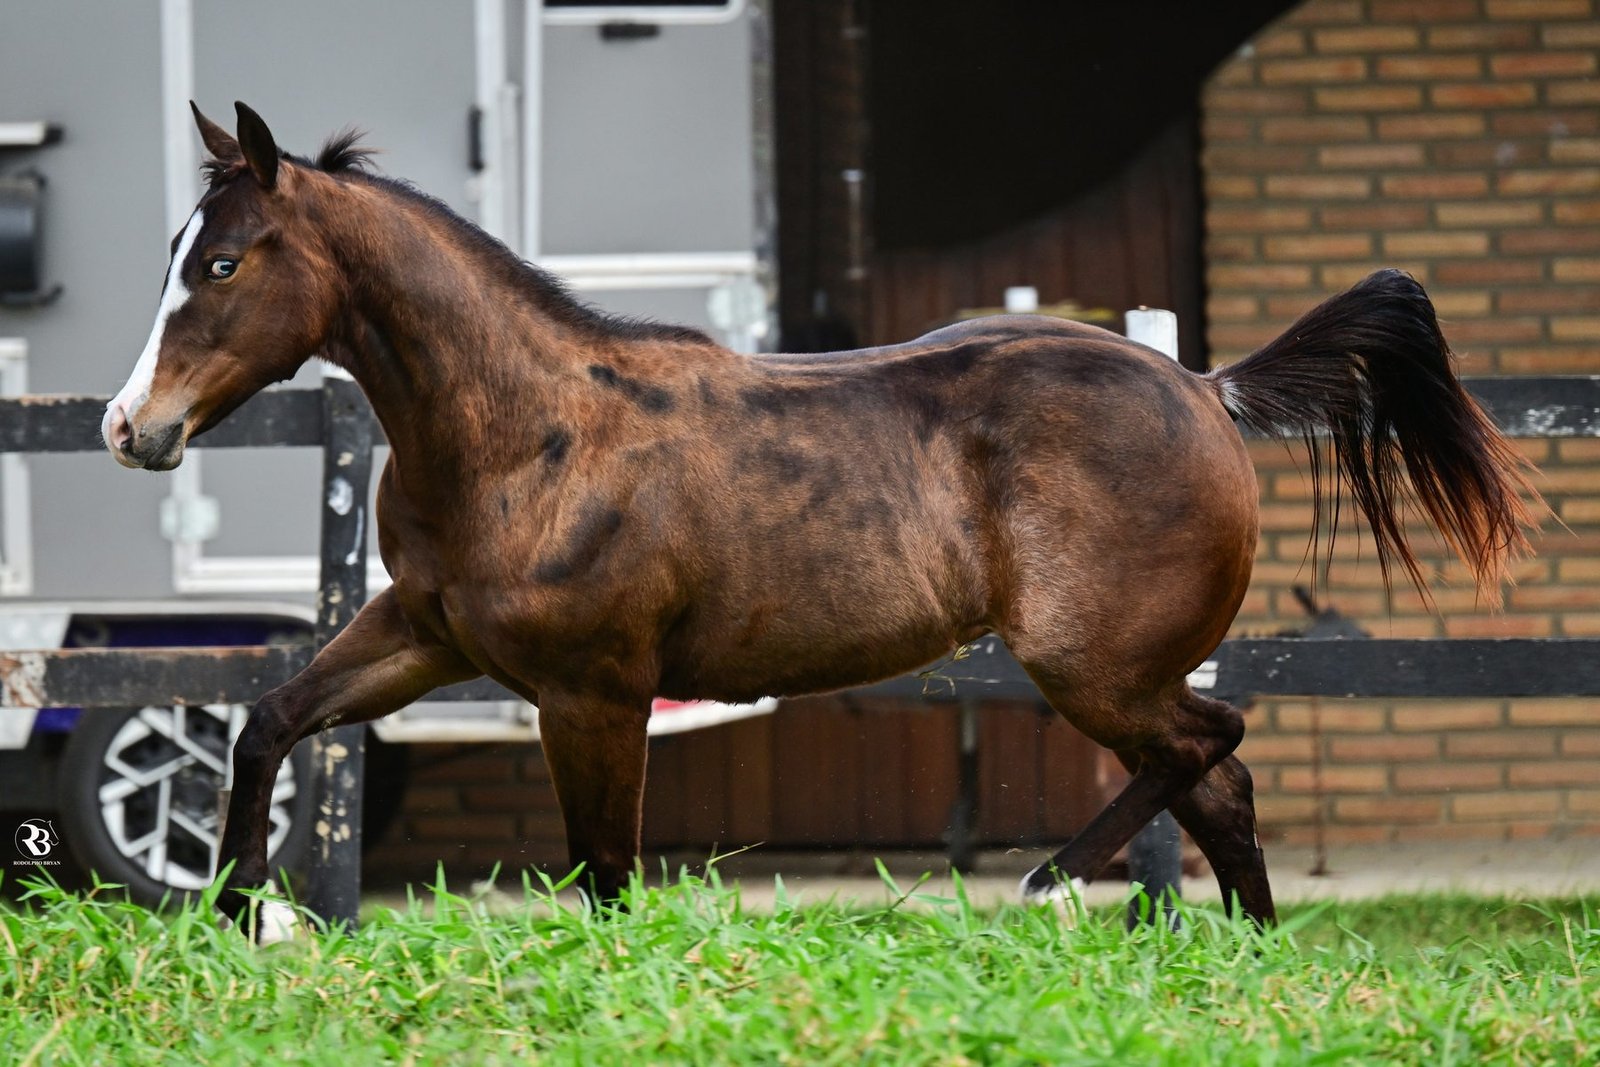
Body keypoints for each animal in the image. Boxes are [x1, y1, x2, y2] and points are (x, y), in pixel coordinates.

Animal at [104, 103, 1536, 931]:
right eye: (171, 252)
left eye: (220, 262)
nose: (131, 428)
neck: (529, 433)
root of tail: (1203, 385)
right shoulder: (426, 632)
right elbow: (269, 719)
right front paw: (232, 910)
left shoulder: (593, 690)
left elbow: (605, 877)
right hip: (1115, 670)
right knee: (1222, 784)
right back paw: (1234, 956)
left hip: (1093, 662)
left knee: (1209, 746)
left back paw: (1044, 880)